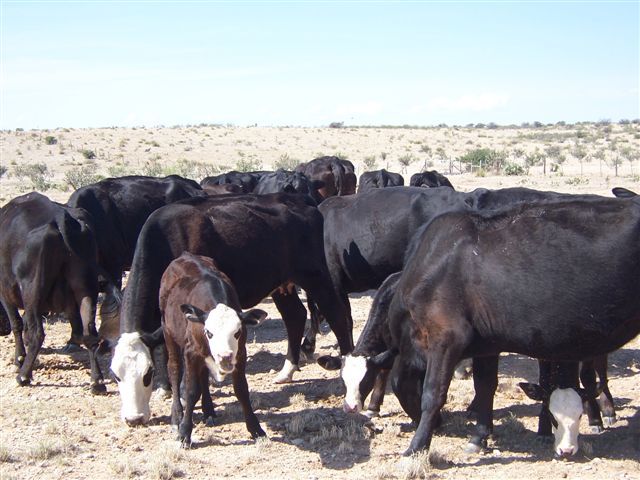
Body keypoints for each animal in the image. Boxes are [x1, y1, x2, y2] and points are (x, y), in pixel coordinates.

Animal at [0, 193, 117, 392]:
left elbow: (17, 324)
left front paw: (19, 358)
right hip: (85, 289)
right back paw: (97, 382)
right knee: (89, 332)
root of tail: (59, 217)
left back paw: (24, 376)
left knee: (37, 333)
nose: (3, 330)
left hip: (32, 291)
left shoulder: (5, 292)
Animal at [109, 193, 350, 426]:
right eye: (116, 375)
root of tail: (302, 202)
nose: (134, 419)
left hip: (316, 277)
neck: (165, 238)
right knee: (295, 317)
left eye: (147, 373)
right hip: (283, 285)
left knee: (338, 316)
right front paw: (168, 390)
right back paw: (286, 370)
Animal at [380, 197, 640, 456]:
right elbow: (484, 386)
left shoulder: (447, 337)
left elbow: (433, 393)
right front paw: (479, 437)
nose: (441, 425)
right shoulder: (486, 343)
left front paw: (416, 446)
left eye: (404, 391)